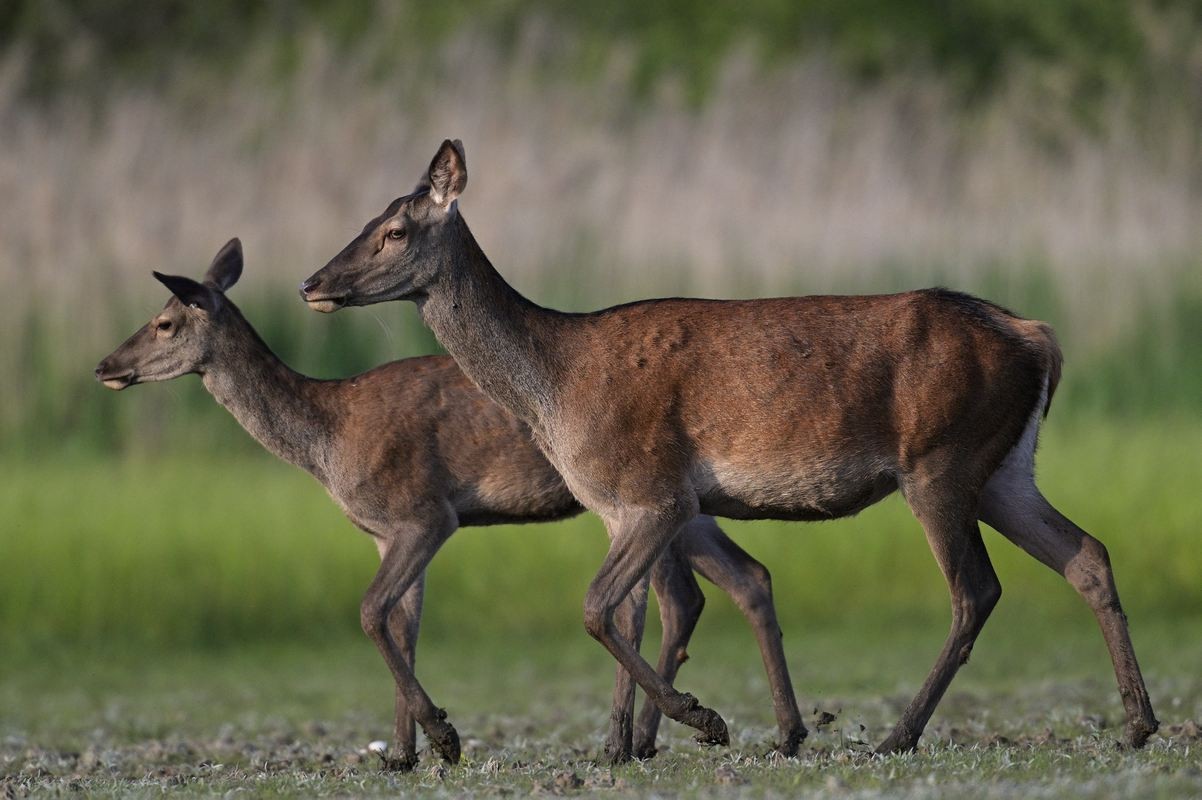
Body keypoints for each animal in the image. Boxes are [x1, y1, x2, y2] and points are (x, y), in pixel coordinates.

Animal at [96, 237, 807, 768]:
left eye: (164, 321)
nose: (105, 365)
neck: (328, 438)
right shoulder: (386, 532)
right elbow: (403, 626)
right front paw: (402, 754)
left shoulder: (424, 512)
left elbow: (371, 612)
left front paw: (442, 736)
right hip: (684, 502)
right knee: (737, 579)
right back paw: (693, 736)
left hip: (645, 495)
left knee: (681, 596)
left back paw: (646, 739)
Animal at [298, 139, 1153, 759]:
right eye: (371, 218)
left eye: (396, 229)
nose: (312, 282)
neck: (555, 386)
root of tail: (1037, 338)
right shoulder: (617, 506)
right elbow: (624, 610)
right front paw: (624, 745)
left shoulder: (654, 489)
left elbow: (596, 606)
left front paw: (700, 720)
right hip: (1007, 466)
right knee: (1088, 554)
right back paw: (1138, 723)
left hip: (940, 460)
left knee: (977, 589)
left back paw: (899, 735)